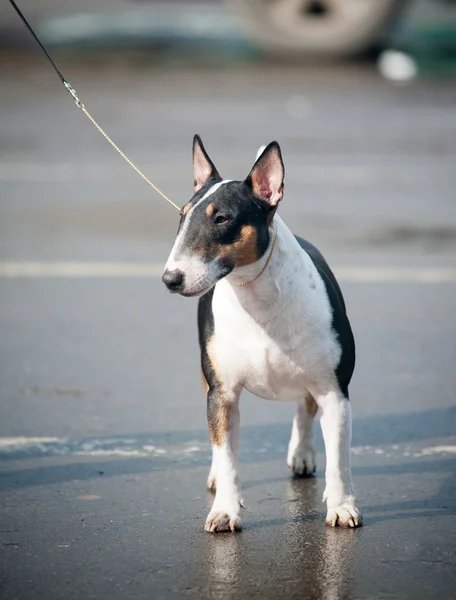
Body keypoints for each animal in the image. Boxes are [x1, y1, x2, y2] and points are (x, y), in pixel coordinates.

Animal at [162, 135, 362, 528]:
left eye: (222, 218)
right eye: (182, 215)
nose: (170, 279)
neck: (256, 300)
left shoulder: (335, 391)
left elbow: (339, 459)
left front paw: (342, 506)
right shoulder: (222, 393)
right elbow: (226, 452)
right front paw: (224, 511)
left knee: (305, 408)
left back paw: (302, 455)